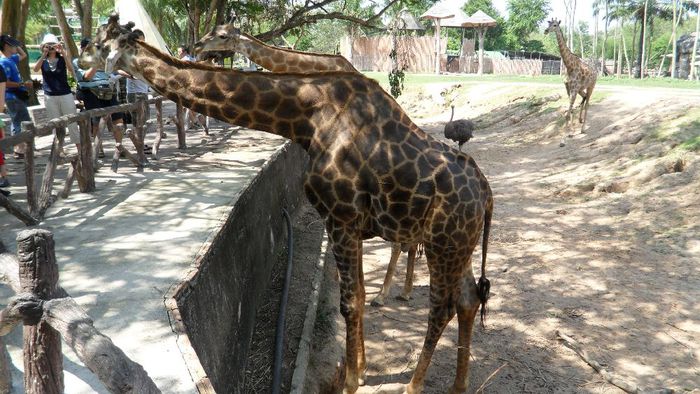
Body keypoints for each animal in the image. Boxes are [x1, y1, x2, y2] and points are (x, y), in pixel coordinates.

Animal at [548, 17, 596, 145]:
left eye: (555, 25)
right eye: (548, 23)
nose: (545, 30)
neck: (569, 66)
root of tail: (596, 71)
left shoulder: (573, 89)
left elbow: (567, 114)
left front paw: (563, 141)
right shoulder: (569, 88)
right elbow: (570, 112)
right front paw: (571, 132)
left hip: (591, 87)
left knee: (587, 103)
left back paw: (583, 128)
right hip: (580, 89)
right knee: (584, 98)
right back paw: (580, 121)